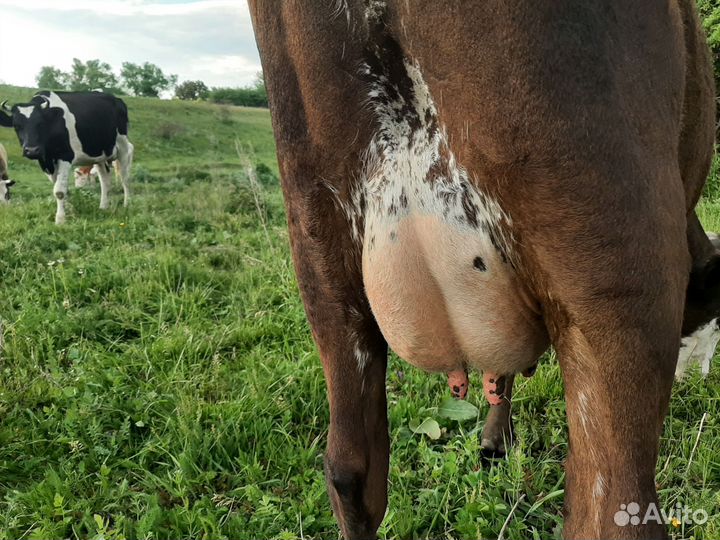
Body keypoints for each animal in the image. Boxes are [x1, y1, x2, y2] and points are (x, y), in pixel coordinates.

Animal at [0, 91, 134, 224]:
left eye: (40, 124)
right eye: (16, 126)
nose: (32, 150)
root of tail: (116, 99)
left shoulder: (65, 156)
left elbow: (59, 190)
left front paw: (60, 219)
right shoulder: (45, 162)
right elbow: (60, 187)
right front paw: (69, 211)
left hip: (123, 146)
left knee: (125, 178)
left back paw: (127, 204)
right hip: (99, 155)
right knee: (105, 179)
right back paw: (103, 207)